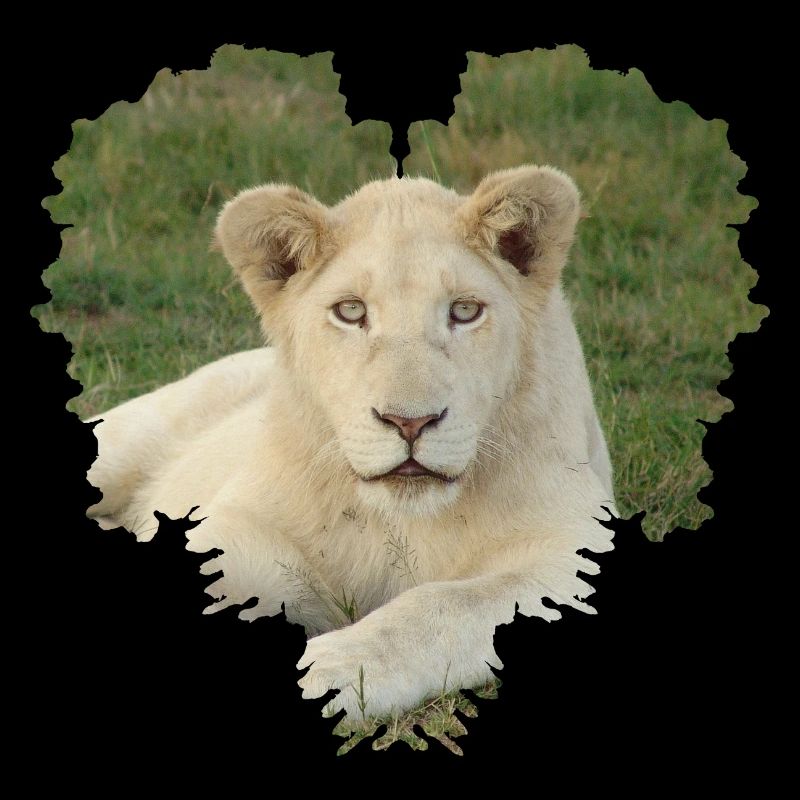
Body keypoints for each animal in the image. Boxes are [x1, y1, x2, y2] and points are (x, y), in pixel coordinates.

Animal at [86, 165, 616, 719]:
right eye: (350, 311)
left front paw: (330, 670)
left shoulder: (575, 542)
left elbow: (446, 603)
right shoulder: (246, 530)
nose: (409, 422)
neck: (399, 522)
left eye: (465, 310)